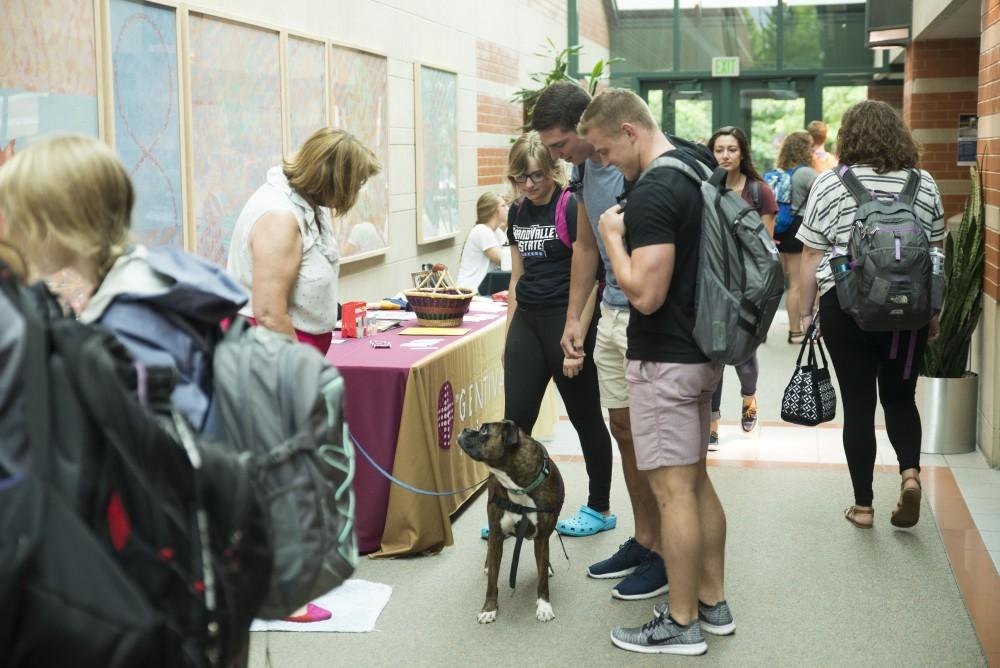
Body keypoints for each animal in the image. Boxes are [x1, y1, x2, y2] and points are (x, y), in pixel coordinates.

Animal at [458, 420, 568, 624]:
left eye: (484, 430)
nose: (465, 429)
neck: (519, 486)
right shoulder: (496, 533)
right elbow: (492, 580)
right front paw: (489, 608)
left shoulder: (542, 538)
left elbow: (542, 578)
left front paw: (544, 605)